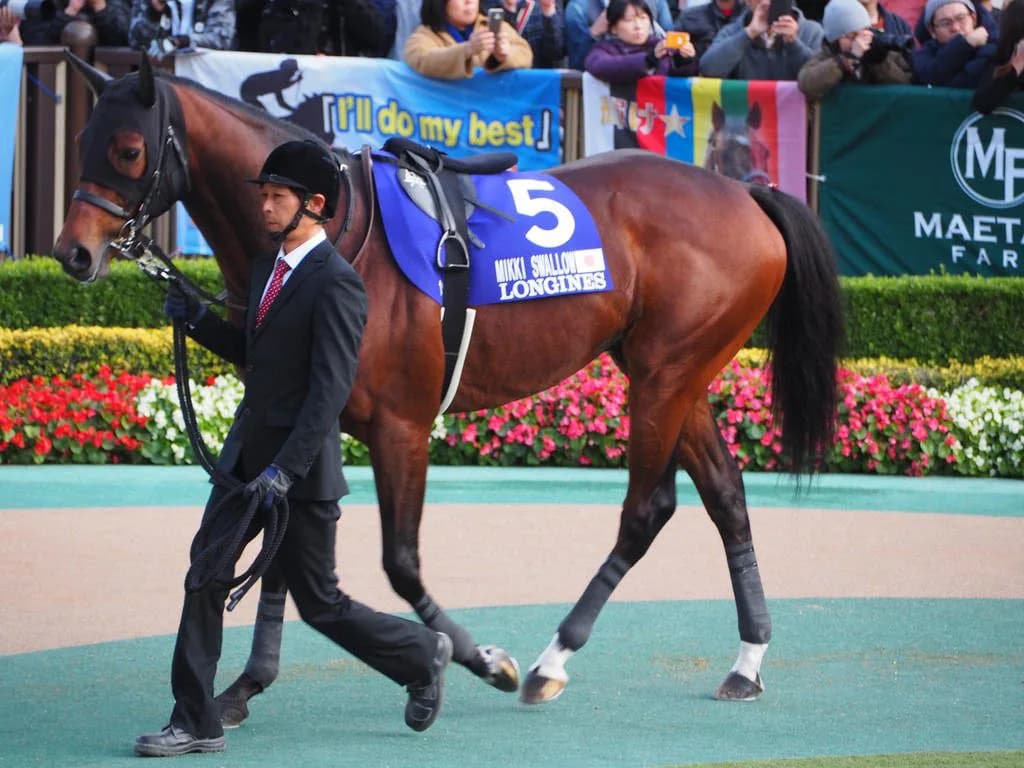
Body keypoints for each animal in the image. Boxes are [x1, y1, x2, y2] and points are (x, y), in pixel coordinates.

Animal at [53, 55, 843, 718]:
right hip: (678, 372)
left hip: (664, 375)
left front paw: (477, 661)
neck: (341, 230)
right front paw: (247, 684)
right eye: (84, 138)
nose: (73, 254)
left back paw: (553, 660)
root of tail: (747, 195)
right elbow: (280, 550)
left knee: (649, 509)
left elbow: (399, 565)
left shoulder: (400, 426)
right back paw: (747, 660)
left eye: (128, 150)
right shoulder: (309, 416)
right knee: (726, 496)